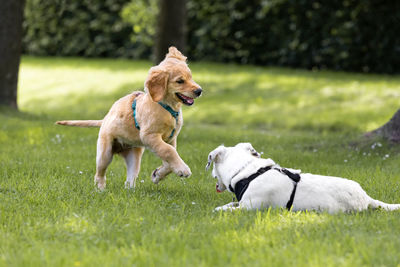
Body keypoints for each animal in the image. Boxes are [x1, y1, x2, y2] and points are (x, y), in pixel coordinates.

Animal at [55, 47, 203, 191]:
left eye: (191, 77)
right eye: (180, 81)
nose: (199, 91)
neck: (168, 108)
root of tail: (105, 119)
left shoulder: (170, 139)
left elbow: (169, 159)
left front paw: (158, 174)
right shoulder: (149, 136)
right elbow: (168, 151)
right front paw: (183, 169)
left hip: (134, 156)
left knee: (130, 178)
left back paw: (130, 190)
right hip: (105, 154)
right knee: (99, 173)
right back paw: (101, 189)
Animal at [206, 143, 400, 215]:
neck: (248, 171)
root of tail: (367, 198)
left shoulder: (249, 207)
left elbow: (223, 209)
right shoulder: (240, 202)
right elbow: (229, 204)